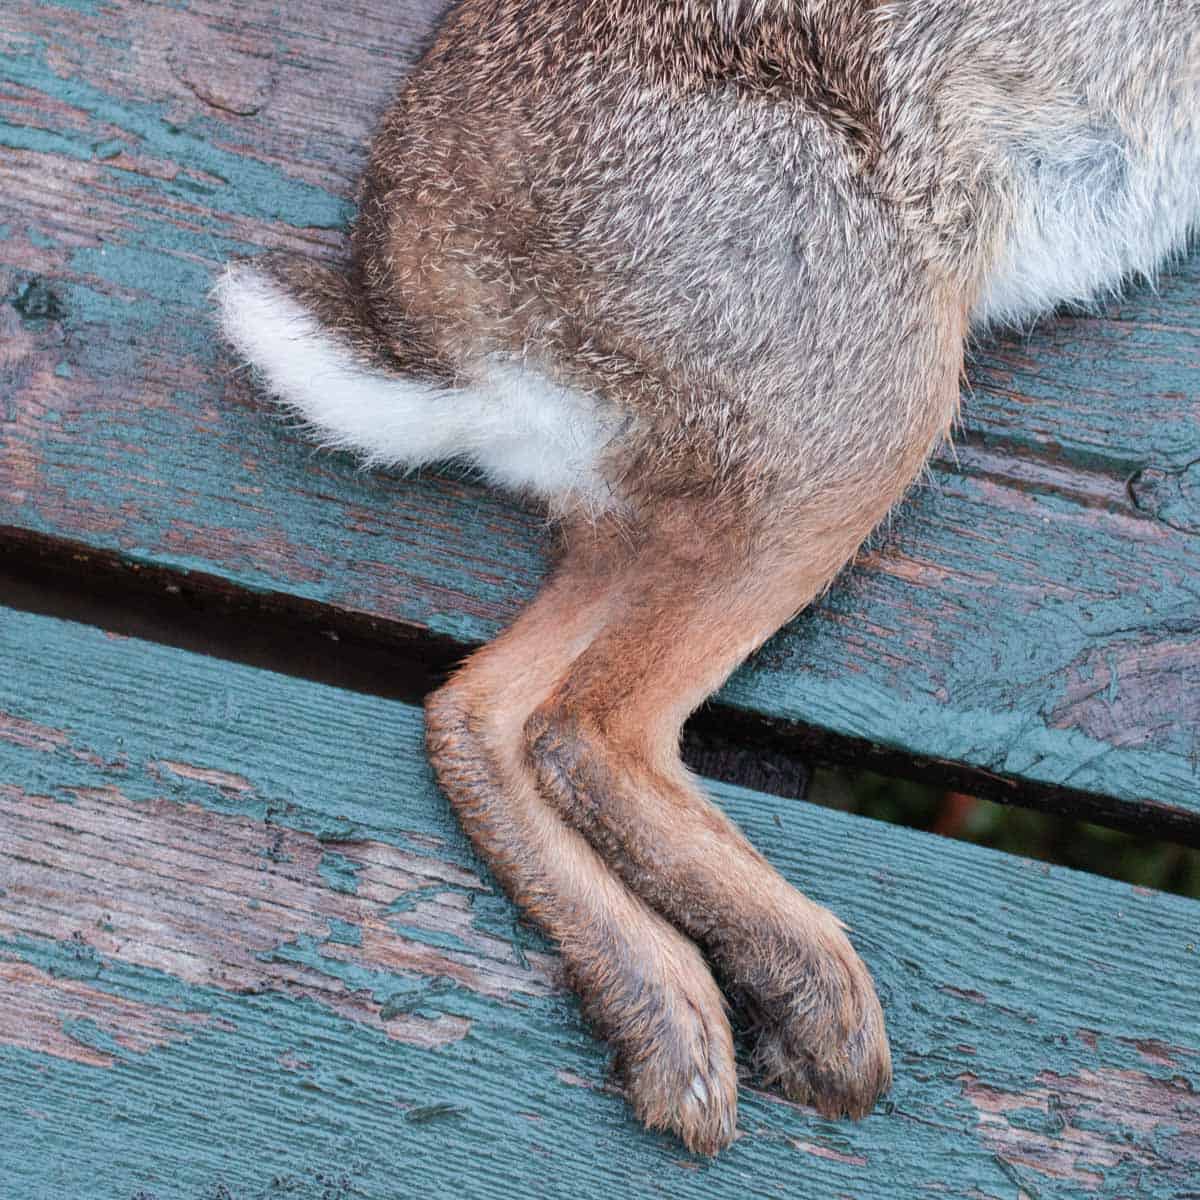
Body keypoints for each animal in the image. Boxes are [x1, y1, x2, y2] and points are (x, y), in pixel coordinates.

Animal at [216, 2, 1200, 1161]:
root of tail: (454, 344)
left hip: (652, 511)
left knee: (484, 713)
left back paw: (672, 1028)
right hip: (864, 394)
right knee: (587, 731)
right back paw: (816, 1009)